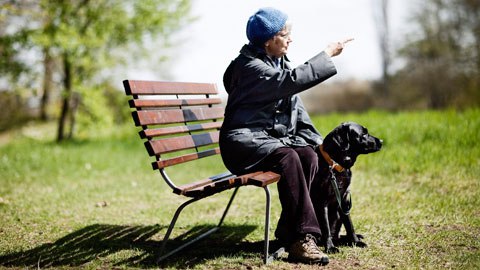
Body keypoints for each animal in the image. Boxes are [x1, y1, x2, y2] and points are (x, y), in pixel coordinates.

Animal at [312, 122, 382, 253]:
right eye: (363, 134)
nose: (381, 141)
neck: (335, 164)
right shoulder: (322, 201)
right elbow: (326, 227)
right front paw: (330, 247)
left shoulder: (344, 200)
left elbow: (350, 225)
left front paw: (356, 241)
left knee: (338, 235)